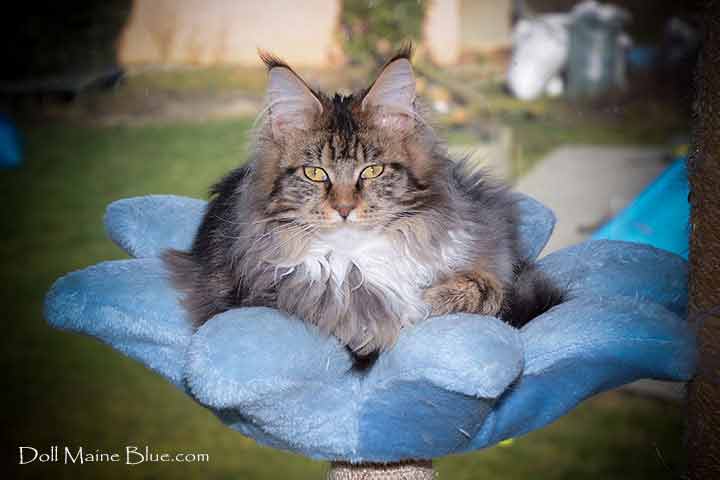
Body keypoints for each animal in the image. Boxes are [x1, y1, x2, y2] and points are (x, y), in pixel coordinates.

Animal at [164, 46, 562, 359]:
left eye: (372, 171)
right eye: (315, 173)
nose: (343, 208)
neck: (358, 259)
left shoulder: (486, 255)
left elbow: (486, 289)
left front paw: (433, 300)